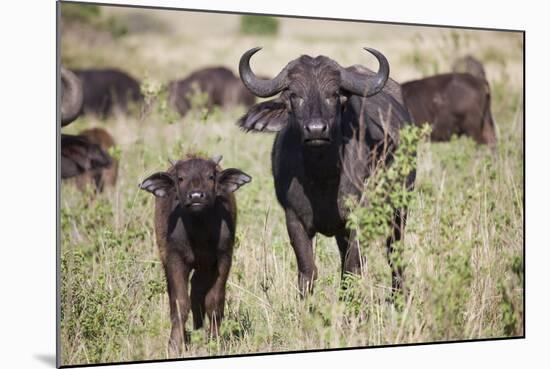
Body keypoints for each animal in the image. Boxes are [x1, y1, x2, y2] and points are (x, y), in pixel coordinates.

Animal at [140, 154, 252, 352]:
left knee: (197, 292)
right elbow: (179, 303)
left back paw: (199, 329)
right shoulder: (175, 259)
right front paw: (175, 344)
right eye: (180, 178)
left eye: (210, 176)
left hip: (204, 267)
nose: (196, 196)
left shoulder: (223, 258)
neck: (198, 233)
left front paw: (214, 340)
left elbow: (214, 302)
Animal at [237, 47, 414, 298]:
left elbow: (353, 268)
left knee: (394, 254)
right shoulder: (294, 219)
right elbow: (307, 271)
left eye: (333, 94)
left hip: (399, 209)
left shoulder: (359, 218)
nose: (316, 130)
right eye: (294, 95)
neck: (321, 177)